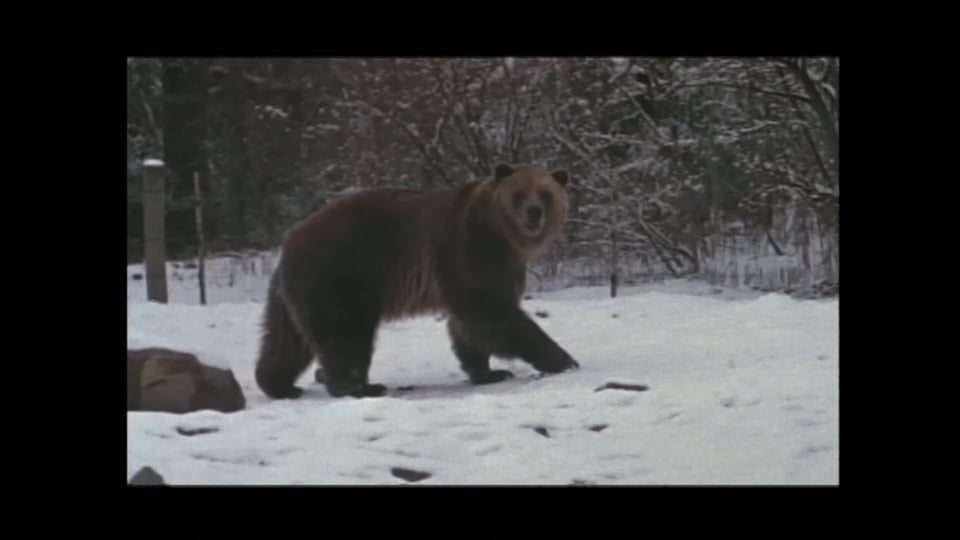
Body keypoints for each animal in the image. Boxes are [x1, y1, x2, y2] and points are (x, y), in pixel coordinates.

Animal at [254, 163, 579, 399]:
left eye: (545, 193)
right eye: (519, 193)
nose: (534, 212)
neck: (504, 238)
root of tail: (289, 239)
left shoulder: (503, 266)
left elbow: (469, 325)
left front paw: (489, 372)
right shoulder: (469, 249)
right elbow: (490, 314)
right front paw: (563, 359)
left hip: (296, 290)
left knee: (287, 339)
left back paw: (279, 385)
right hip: (340, 276)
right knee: (345, 333)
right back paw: (358, 387)